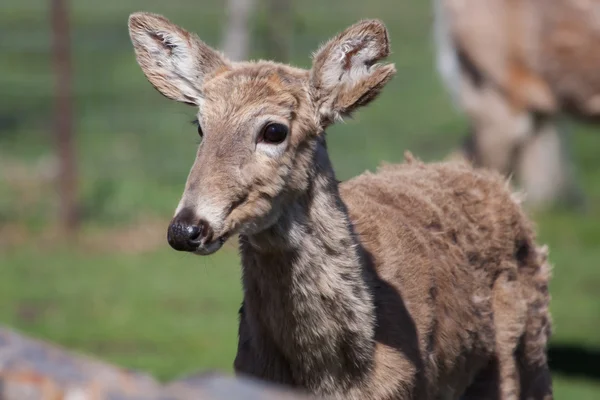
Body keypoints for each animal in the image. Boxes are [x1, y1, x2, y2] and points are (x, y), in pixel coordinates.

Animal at [126, 12, 552, 400]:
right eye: (201, 126)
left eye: (274, 130)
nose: (186, 228)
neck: (332, 375)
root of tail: (498, 185)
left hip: (527, 354)